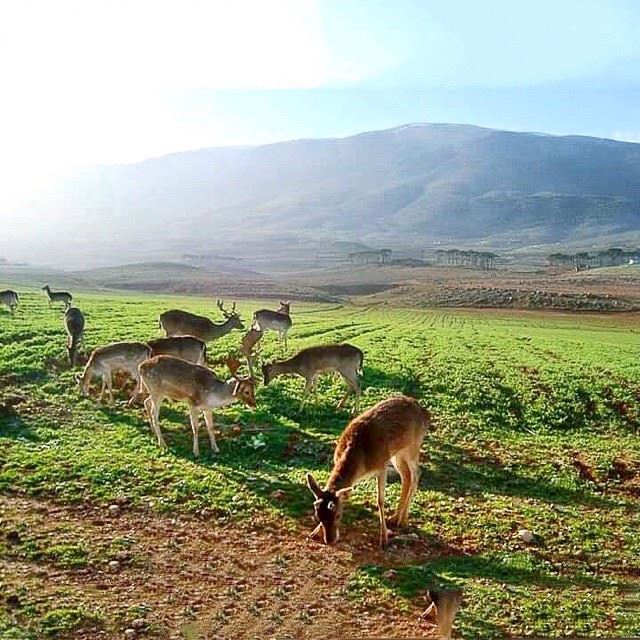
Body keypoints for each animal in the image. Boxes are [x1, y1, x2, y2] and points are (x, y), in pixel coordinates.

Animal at [304, 396, 430, 552]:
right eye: (318, 517)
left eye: (338, 515)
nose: (330, 540)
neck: (361, 460)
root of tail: (426, 413)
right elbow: (346, 494)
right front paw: (313, 533)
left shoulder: (381, 465)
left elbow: (380, 501)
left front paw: (384, 540)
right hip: (397, 454)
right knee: (406, 476)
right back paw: (395, 517)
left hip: (412, 447)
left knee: (416, 473)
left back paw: (403, 520)